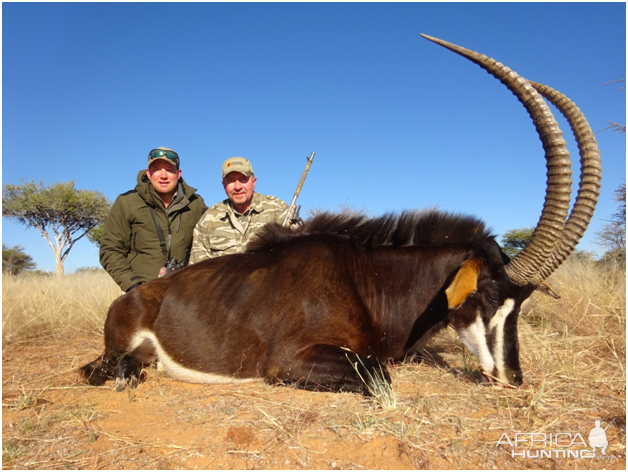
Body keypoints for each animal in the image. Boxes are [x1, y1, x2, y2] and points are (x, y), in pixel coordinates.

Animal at [81, 34, 600, 394]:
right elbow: (381, 377)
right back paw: (124, 374)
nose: (513, 378)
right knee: (98, 369)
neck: (364, 277)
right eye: (489, 295)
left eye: (522, 304)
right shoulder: (290, 360)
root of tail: (139, 293)